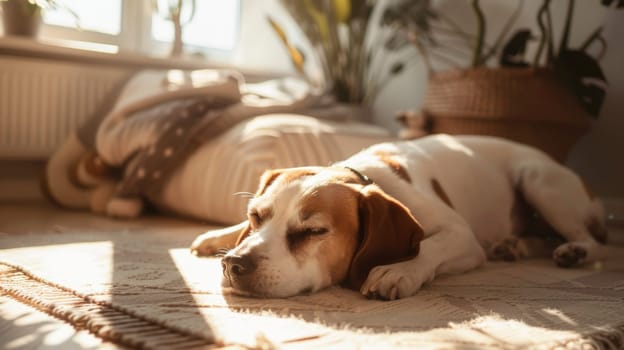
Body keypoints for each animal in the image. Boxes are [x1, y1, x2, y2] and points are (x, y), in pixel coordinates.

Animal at [190, 135, 604, 300]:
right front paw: (217, 237)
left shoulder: (461, 236)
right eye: (256, 216)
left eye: (313, 231)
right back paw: (514, 246)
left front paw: (398, 270)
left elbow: (428, 246)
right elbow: (234, 231)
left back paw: (575, 252)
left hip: (538, 181)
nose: (234, 265)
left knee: (591, 239)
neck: (360, 175)